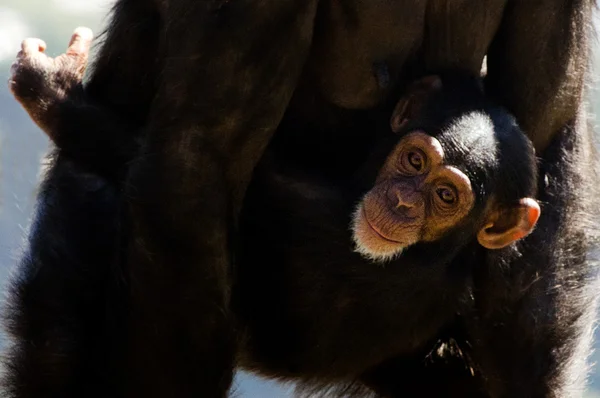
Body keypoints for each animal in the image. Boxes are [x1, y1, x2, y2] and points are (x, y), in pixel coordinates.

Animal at [4, 0, 600, 396]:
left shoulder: (312, 219)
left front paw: (53, 91)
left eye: (447, 195)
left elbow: (194, 161)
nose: (405, 202)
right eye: (414, 161)